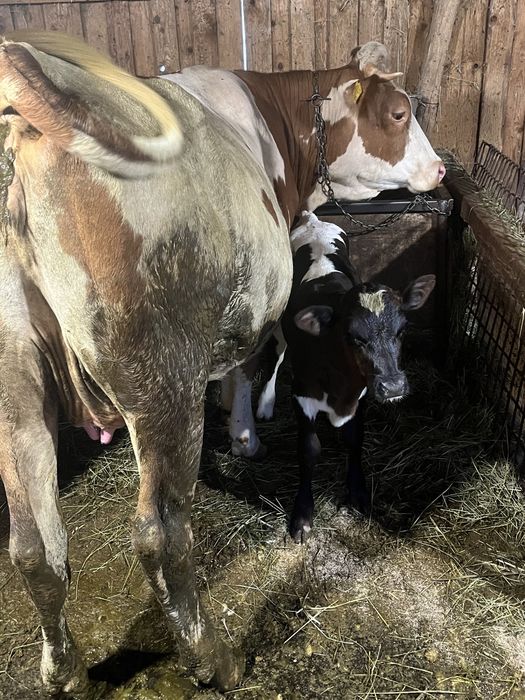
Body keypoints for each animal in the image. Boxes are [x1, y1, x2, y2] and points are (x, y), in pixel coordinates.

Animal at [254, 212, 436, 542]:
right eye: (352, 336)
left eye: (402, 330)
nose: (393, 386)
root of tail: (314, 220)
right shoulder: (302, 394)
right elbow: (309, 450)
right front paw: (302, 515)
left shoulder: (361, 395)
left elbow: (354, 440)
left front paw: (358, 494)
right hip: (280, 331)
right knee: (277, 357)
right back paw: (265, 403)